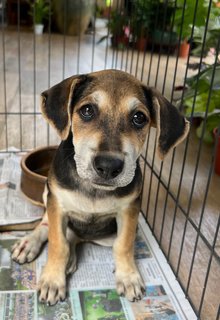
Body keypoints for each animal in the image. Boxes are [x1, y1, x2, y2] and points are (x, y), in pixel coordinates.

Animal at [9, 69, 189, 304]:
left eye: (139, 118)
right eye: (87, 110)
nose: (108, 166)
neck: (94, 189)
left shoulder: (129, 210)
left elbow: (124, 245)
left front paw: (128, 277)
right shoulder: (57, 203)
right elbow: (58, 244)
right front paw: (52, 280)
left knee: (76, 238)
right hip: (47, 192)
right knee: (49, 226)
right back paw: (29, 243)